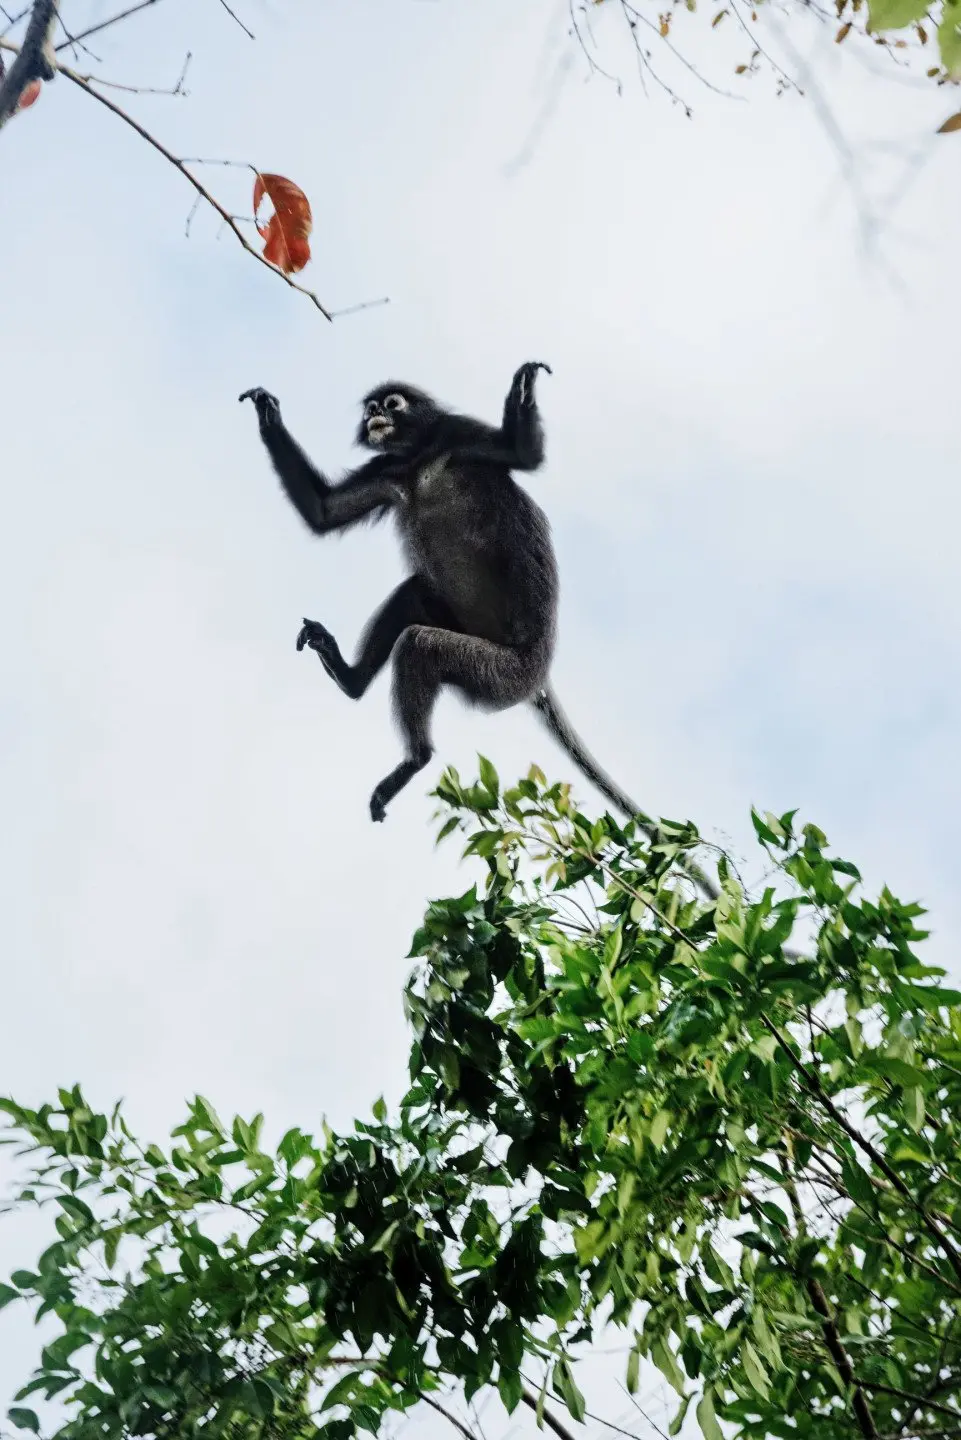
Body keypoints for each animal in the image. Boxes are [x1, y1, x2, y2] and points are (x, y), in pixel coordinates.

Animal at [239, 362, 677, 840]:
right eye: (371, 408)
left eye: (391, 403)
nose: (376, 415)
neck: (418, 459)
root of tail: (539, 677)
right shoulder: (386, 468)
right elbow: (324, 512)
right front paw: (268, 415)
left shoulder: (457, 433)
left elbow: (523, 454)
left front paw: (523, 388)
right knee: (415, 591)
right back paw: (349, 678)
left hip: (500, 674)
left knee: (419, 645)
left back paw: (414, 759)